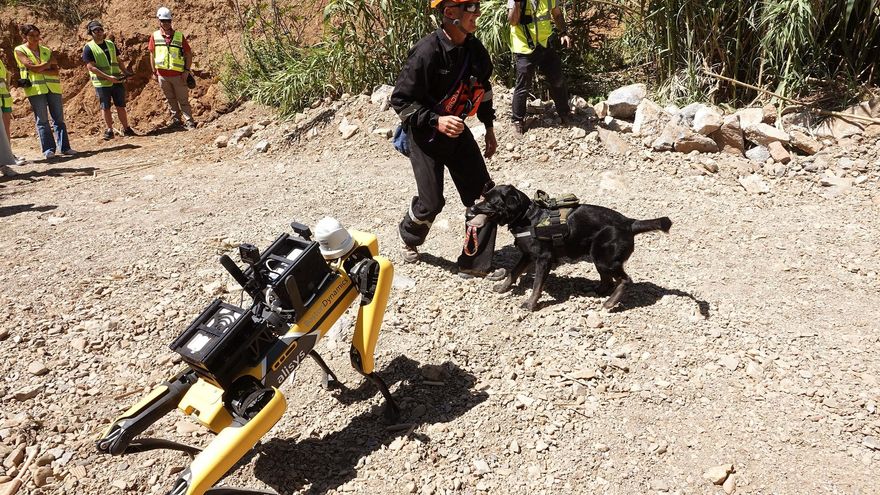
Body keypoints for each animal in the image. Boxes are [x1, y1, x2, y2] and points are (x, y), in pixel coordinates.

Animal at [470, 185, 672, 310]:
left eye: (489, 202)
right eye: (483, 198)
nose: (471, 209)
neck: (527, 217)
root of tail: (630, 223)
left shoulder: (544, 259)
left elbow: (536, 286)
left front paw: (530, 304)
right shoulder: (526, 256)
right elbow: (513, 273)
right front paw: (503, 289)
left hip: (604, 258)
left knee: (625, 280)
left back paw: (610, 303)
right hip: (598, 256)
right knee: (607, 280)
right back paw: (597, 291)